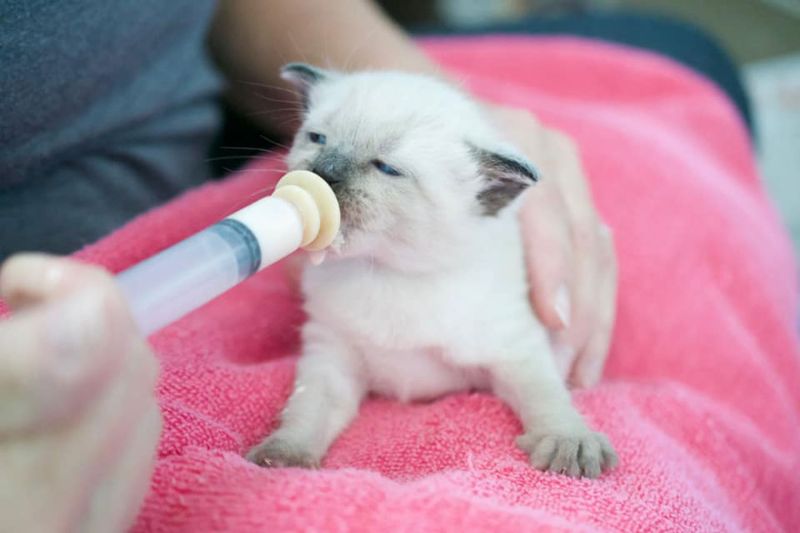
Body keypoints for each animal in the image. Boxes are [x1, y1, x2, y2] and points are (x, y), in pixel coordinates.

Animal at [245, 63, 620, 478]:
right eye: (317, 139)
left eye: (387, 168)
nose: (323, 172)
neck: (389, 273)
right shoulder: (331, 355)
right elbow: (308, 408)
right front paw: (284, 455)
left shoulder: (515, 349)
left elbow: (546, 394)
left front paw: (568, 440)